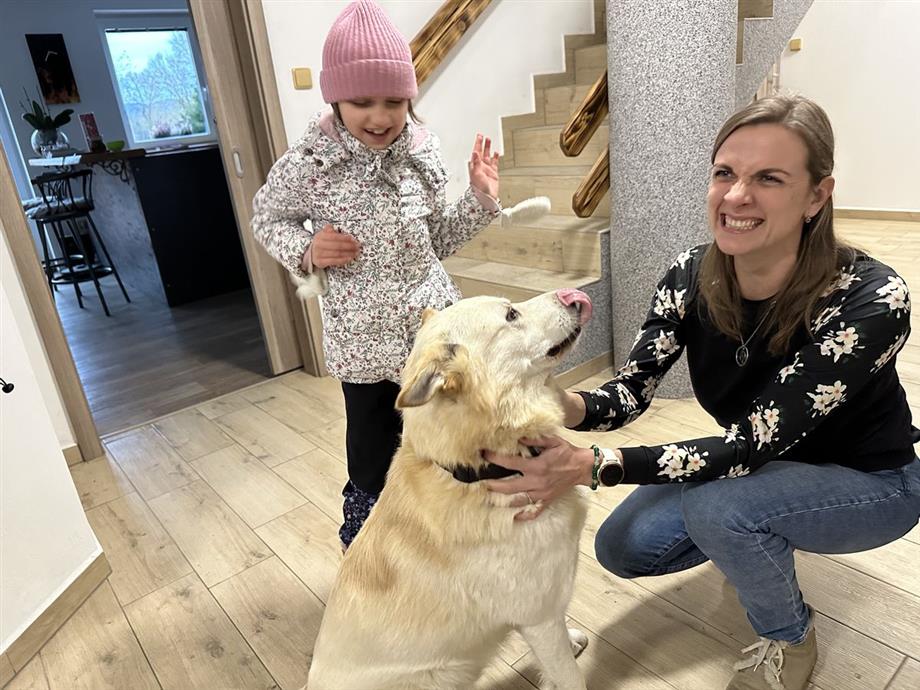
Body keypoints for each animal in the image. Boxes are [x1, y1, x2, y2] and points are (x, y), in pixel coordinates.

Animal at [305, 288, 593, 690]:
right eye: (511, 315)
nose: (573, 295)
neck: (476, 471)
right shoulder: (539, 616)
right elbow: (569, 676)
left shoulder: (548, 608)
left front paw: (571, 641)